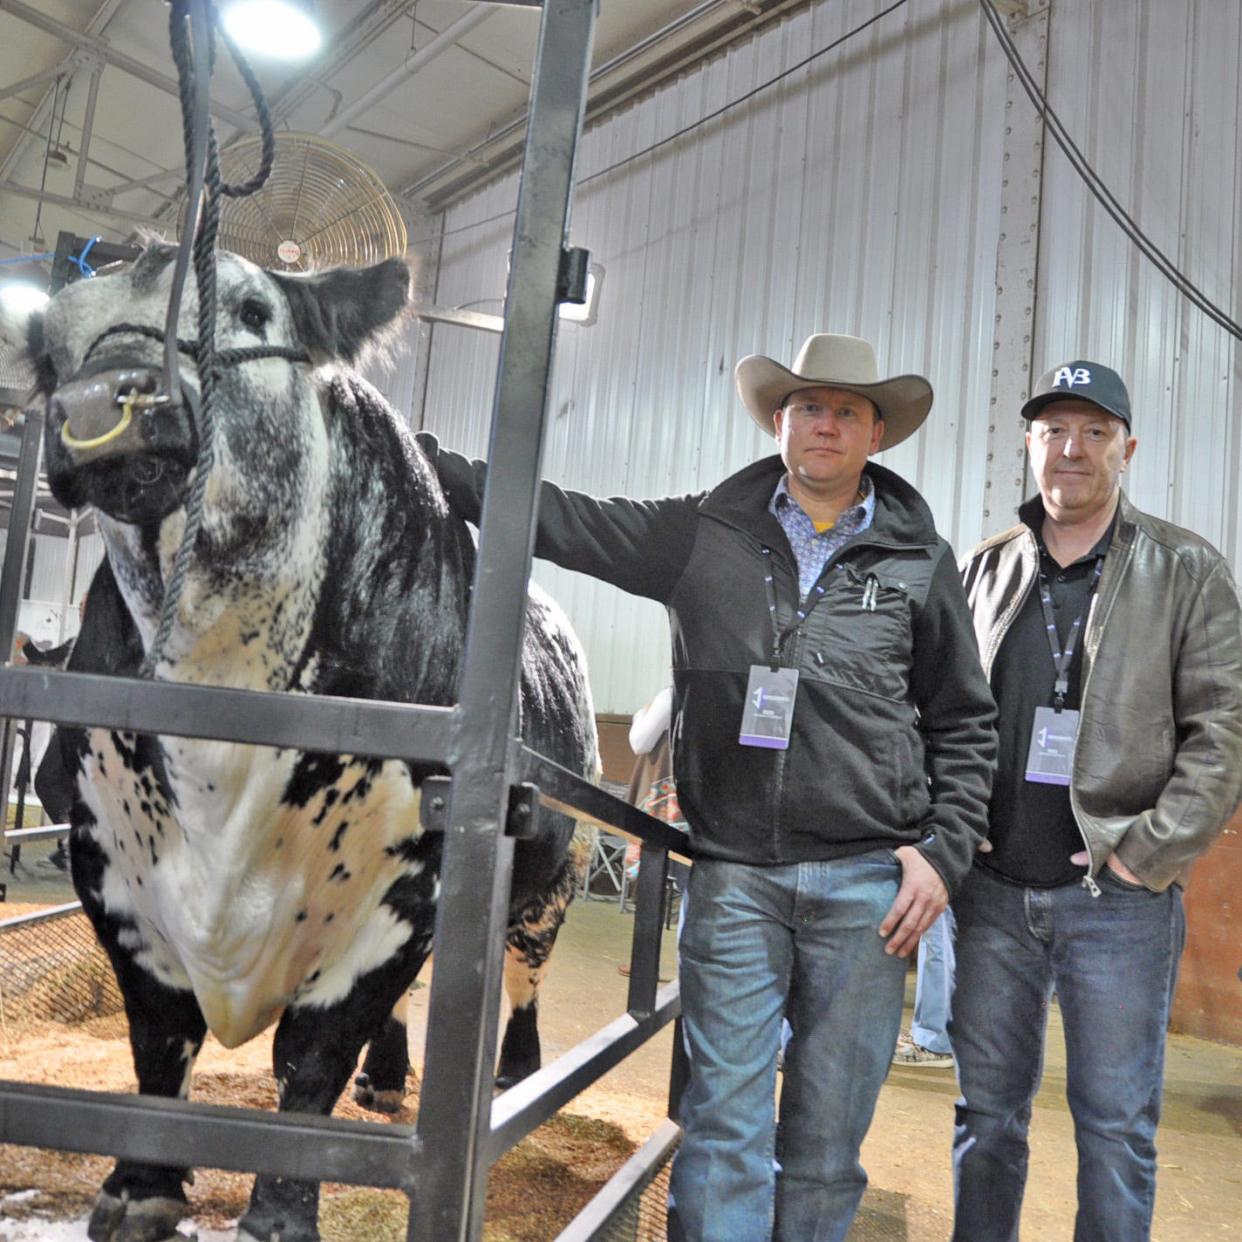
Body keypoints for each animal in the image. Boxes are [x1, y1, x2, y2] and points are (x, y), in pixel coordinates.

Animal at [4, 244, 596, 1242]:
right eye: (51, 353)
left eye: (250, 308)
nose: (95, 407)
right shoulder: (109, 865)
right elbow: (158, 1038)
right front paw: (139, 1187)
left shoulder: (408, 888)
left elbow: (312, 1055)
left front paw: (281, 1213)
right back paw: (389, 1078)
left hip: (550, 885)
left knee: (521, 978)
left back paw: (516, 1069)